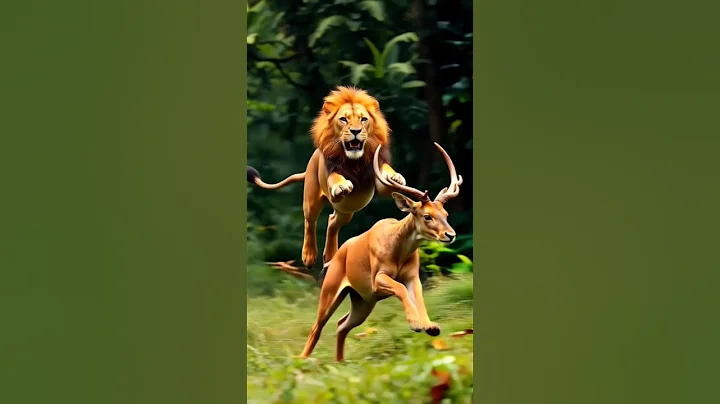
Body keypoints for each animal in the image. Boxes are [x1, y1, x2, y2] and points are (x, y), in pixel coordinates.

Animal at [247, 86, 406, 269]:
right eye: (343, 119)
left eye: (363, 119)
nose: (356, 131)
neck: (354, 162)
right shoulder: (332, 178)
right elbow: (336, 179)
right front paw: (342, 186)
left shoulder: (376, 170)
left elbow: (386, 173)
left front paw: (396, 177)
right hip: (312, 200)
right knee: (310, 222)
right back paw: (309, 257)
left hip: (346, 211)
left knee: (332, 223)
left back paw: (330, 256)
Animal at [298, 142, 464, 362]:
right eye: (427, 216)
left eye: (445, 214)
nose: (450, 234)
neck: (397, 250)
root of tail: (333, 260)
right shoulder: (377, 277)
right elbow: (400, 289)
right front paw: (415, 324)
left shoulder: (412, 276)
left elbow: (418, 296)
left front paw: (430, 325)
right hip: (331, 289)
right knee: (317, 328)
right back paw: (301, 360)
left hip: (363, 300)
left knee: (342, 325)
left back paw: (340, 361)